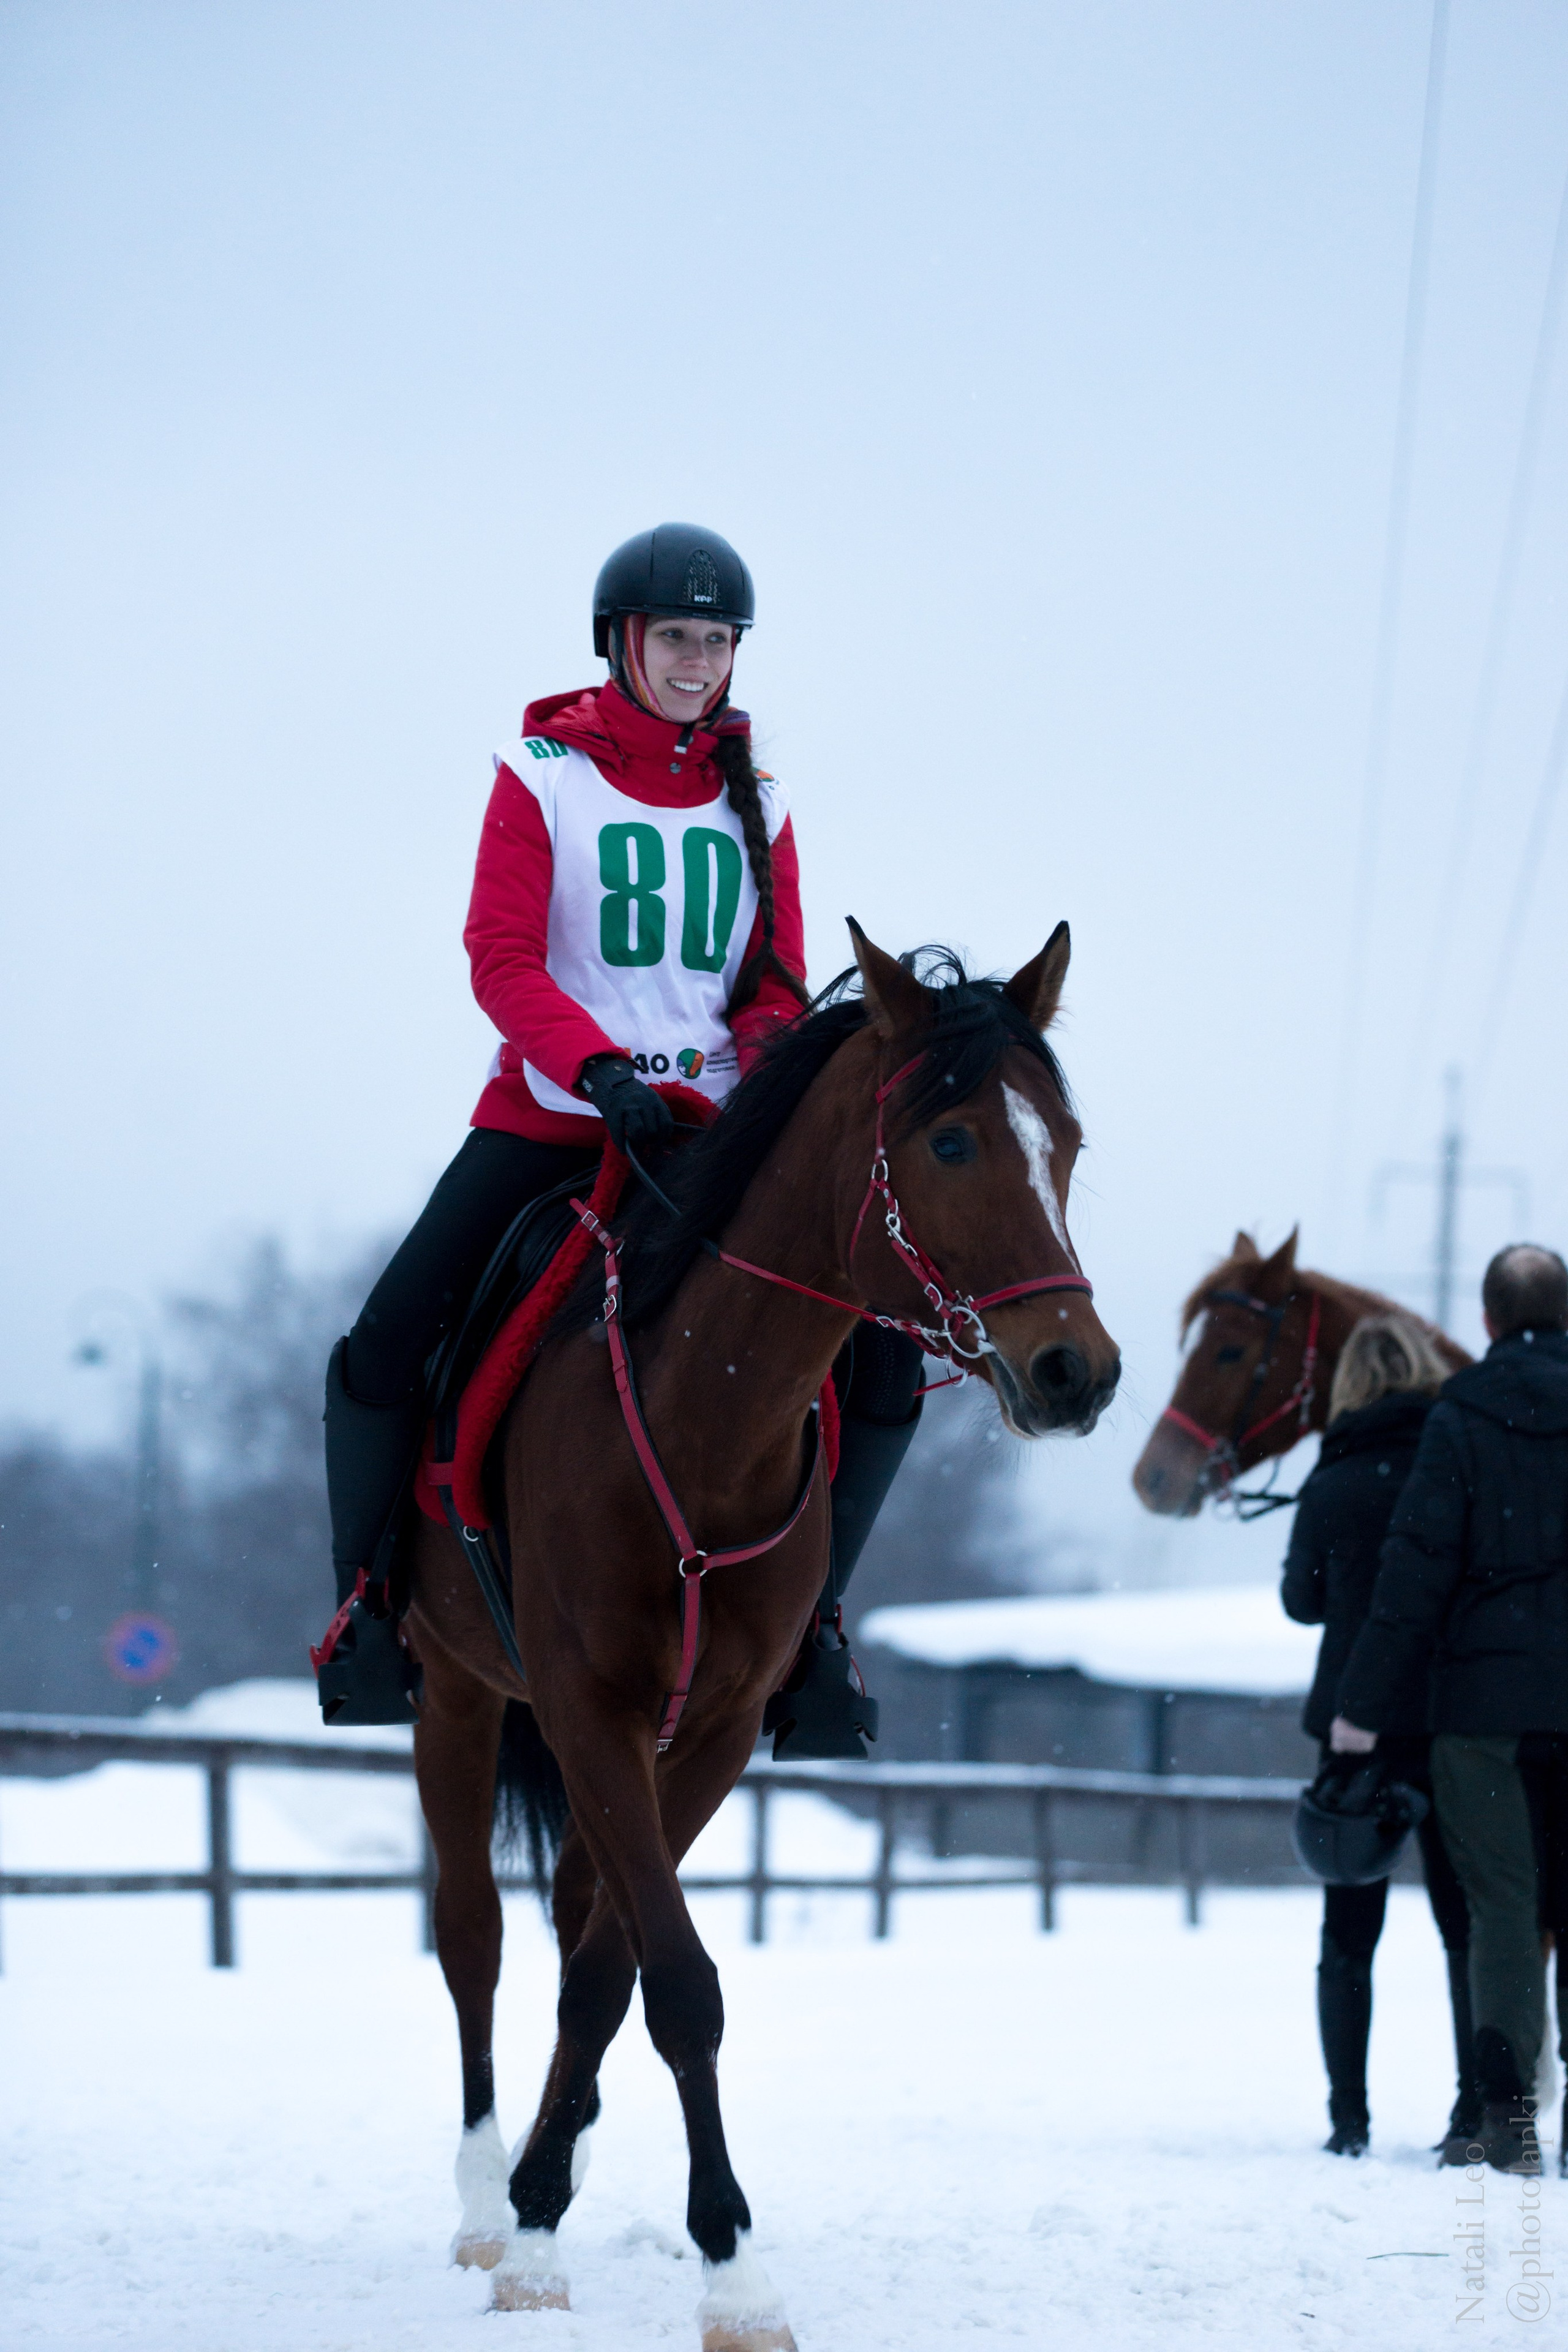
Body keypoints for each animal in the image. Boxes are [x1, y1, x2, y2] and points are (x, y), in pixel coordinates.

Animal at [401, 920, 1121, 2349]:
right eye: (950, 1142)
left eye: (1063, 1139)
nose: (1078, 1371)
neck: (703, 1420)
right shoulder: (589, 1709)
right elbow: (675, 1986)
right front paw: (719, 2270)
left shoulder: (714, 1731)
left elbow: (614, 1974)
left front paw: (560, 2216)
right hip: (452, 1694)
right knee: (472, 1935)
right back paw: (479, 2205)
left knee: (570, 1927)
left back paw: (539, 2174)